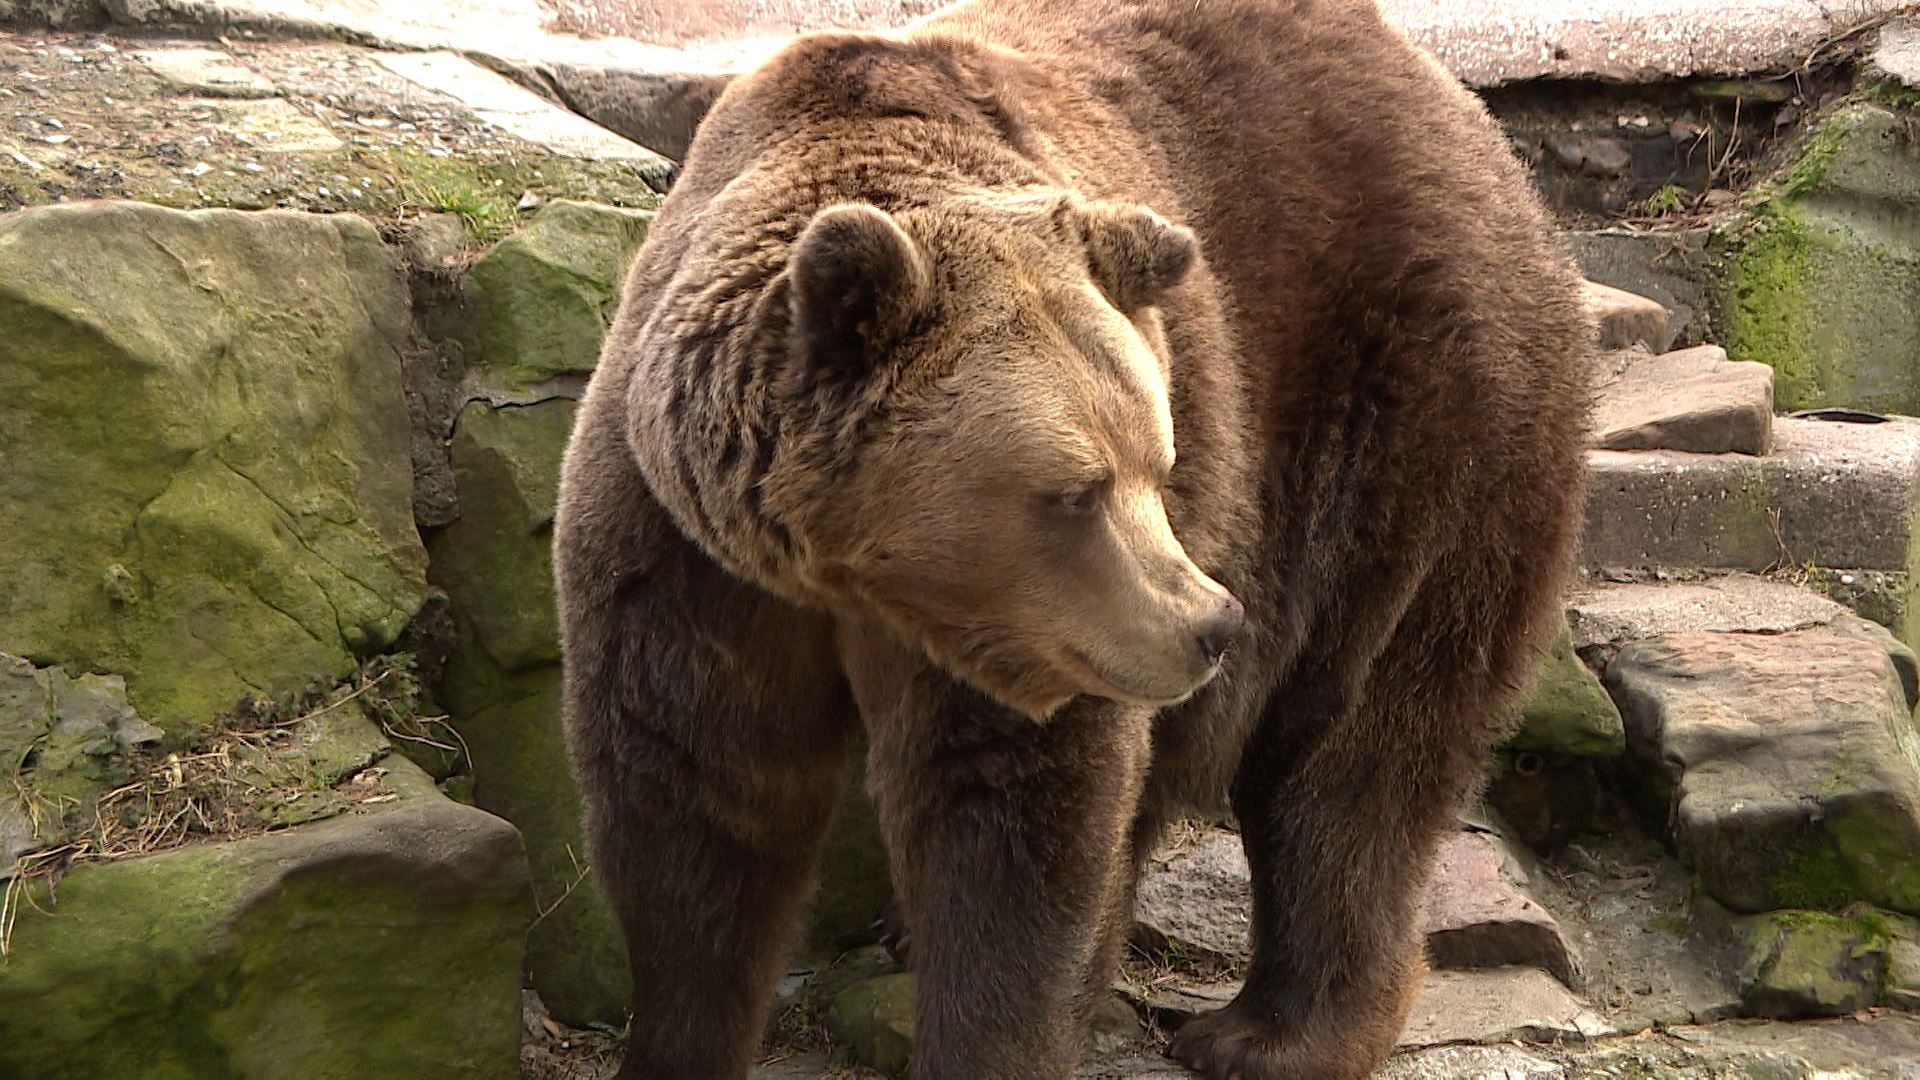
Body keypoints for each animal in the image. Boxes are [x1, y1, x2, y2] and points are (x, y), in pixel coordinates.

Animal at [552, 2, 1589, 1076]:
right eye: (1080, 490)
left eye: (1157, 462)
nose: (1210, 624)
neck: (851, 575)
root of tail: (1455, 101)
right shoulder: (690, 553)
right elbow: (698, 798)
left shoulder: (1028, 630)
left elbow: (1015, 826)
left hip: (1411, 418)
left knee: (1356, 741)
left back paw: (1269, 1032)